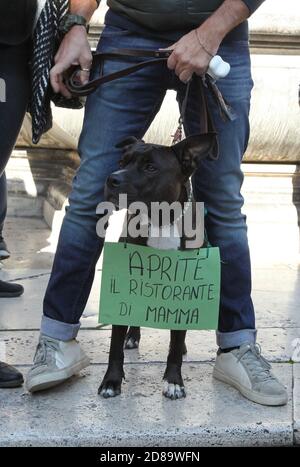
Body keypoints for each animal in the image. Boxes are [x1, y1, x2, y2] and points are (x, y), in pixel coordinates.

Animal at [99, 133, 214, 400]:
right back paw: (132, 336)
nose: (112, 178)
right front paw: (111, 381)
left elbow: (175, 345)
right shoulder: (125, 287)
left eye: (150, 168)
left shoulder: (184, 290)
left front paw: (173, 381)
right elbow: (114, 345)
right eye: (122, 161)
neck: (160, 221)